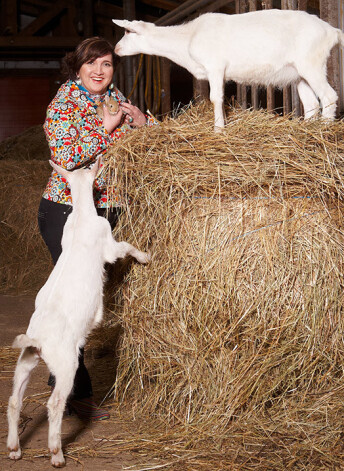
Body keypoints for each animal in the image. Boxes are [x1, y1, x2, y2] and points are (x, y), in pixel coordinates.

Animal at [6, 159, 149, 468]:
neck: (82, 214)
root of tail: (38, 341)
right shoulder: (109, 246)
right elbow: (125, 247)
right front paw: (145, 257)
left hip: (25, 361)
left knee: (14, 401)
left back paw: (13, 448)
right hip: (66, 364)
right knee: (54, 404)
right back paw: (56, 453)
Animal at [113, 9, 344, 130]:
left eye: (128, 31)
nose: (115, 49)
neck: (186, 38)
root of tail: (332, 31)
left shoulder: (215, 66)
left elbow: (216, 98)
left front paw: (218, 128)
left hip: (312, 63)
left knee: (329, 96)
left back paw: (324, 129)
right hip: (299, 74)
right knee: (312, 104)